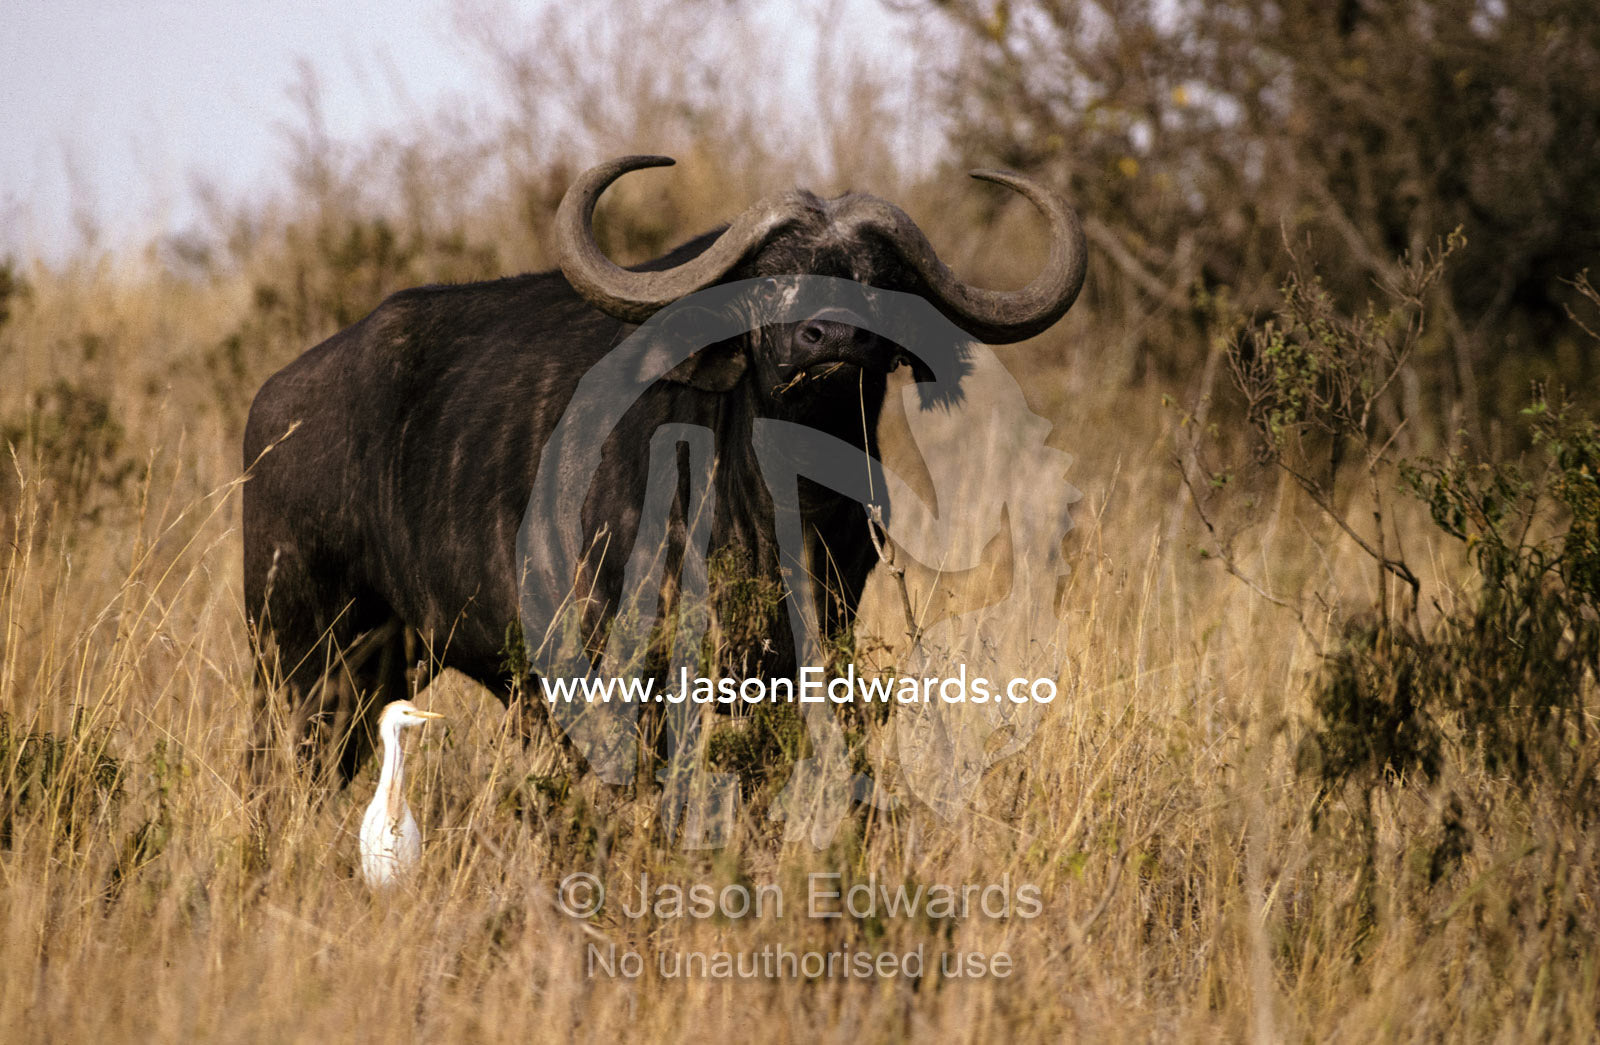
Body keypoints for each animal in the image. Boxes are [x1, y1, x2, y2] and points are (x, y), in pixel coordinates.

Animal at [242, 155, 1085, 783]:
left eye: (874, 279)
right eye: (769, 275)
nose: (830, 338)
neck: (778, 498)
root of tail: (273, 408)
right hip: (299, 656)